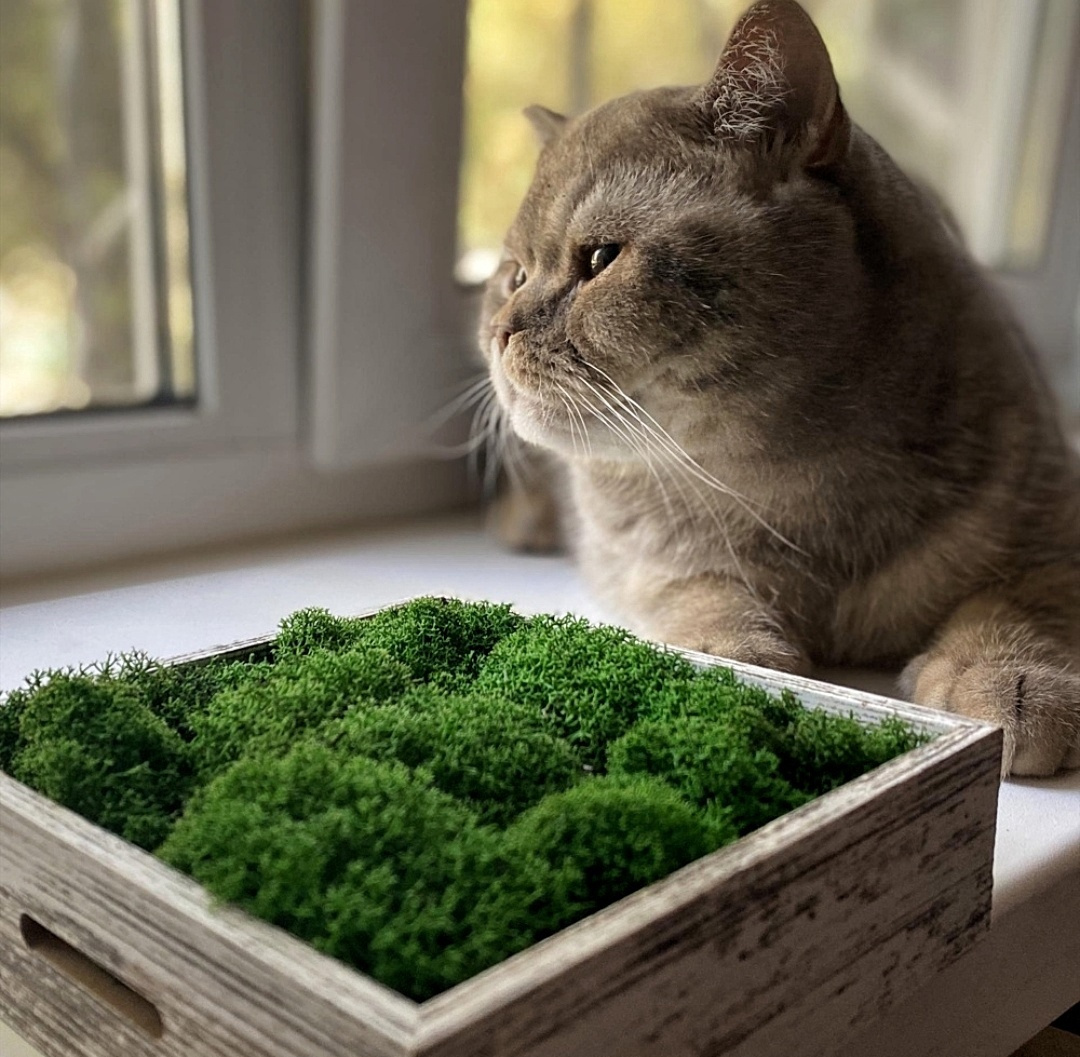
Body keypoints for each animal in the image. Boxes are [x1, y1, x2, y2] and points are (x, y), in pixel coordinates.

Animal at [481, 0, 1080, 777]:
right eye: (515, 274)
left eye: (602, 258)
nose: (499, 330)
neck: (801, 481)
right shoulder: (646, 561)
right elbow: (701, 595)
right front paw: (731, 660)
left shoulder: (1052, 530)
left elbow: (1016, 601)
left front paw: (1009, 676)